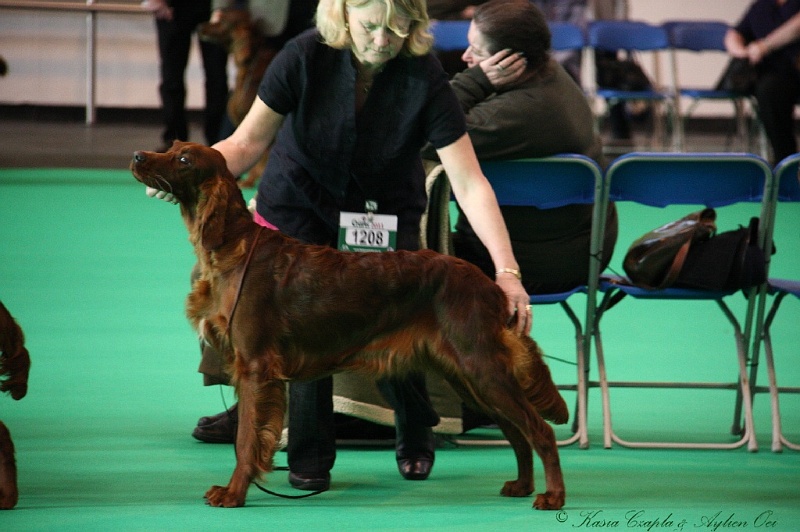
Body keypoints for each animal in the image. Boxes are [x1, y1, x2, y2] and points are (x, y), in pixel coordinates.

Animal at [130, 141, 568, 512]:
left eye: (184, 159)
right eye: (171, 147)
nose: (138, 156)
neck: (231, 248)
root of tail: (489, 284)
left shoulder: (254, 366)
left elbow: (246, 439)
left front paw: (234, 493)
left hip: (481, 368)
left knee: (540, 431)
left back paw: (552, 497)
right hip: (467, 376)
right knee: (518, 432)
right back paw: (521, 485)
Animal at [198, 8, 276, 189]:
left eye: (222, 21)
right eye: (218, 16)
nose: (200, 26)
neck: (250, 64)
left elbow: (262, 159)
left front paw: (250, 180)